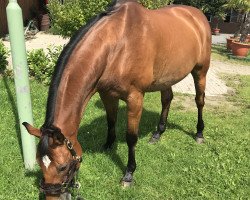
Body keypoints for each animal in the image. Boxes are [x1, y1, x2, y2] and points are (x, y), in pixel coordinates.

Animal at [23, 0, 211, 198]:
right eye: (39, 163)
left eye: (62, 166)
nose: (53, 197)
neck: (117, 45)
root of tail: (197, 15)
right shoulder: (107, 94)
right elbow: (111, 121)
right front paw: (107, 146)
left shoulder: (135, 98)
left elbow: (131, 137)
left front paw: (129, 174)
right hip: (165, 78)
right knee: (167, 99)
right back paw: (157, 133)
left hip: (200, 71)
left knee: (199, 101)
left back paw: (199, 133)